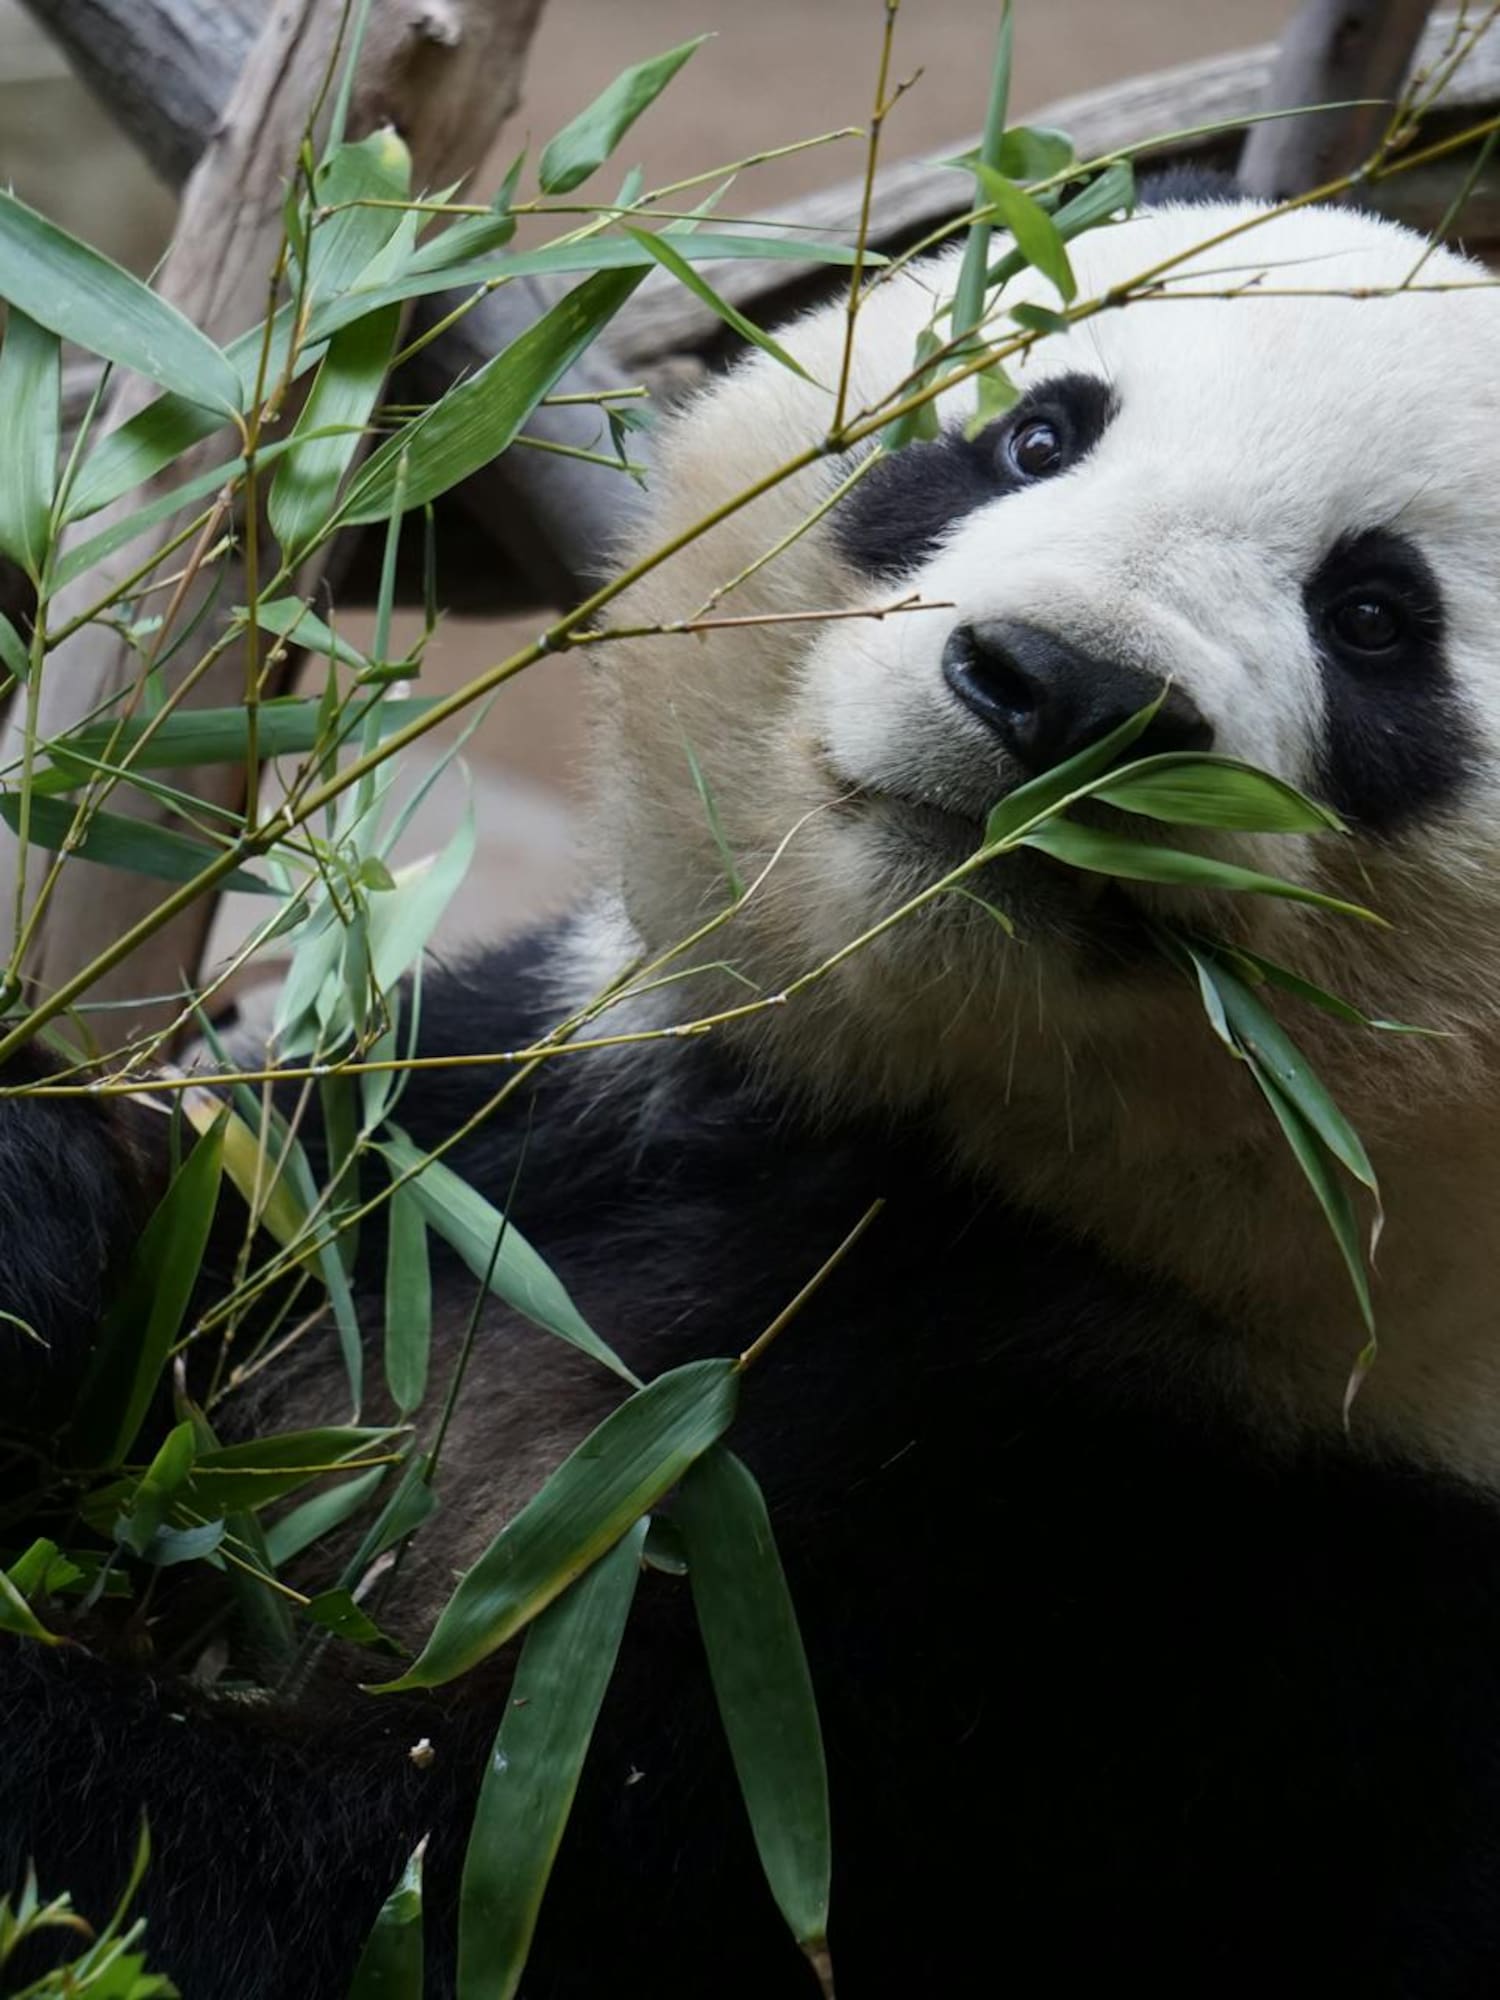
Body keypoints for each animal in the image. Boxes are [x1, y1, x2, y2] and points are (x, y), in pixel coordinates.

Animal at [6, 174, 1500, 1999]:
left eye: (1377, 618)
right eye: (1036, 432)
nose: (1060, 688)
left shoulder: (1237, 1622)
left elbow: (435, 1890)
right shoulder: (538, 1110)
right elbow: (258, 1200)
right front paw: (41, 1217)